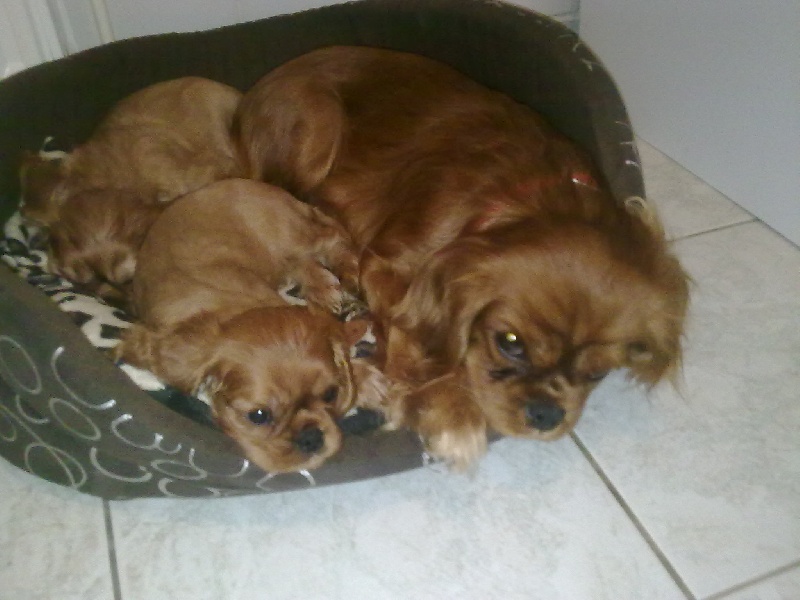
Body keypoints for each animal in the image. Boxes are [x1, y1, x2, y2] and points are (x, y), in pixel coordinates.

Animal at [115, 178, 370, 474]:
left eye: (330, 394)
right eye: (258, 416)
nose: (311, 438)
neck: (234, 310)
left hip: (289, 236)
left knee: (331, 237)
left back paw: (345, 275)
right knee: (304, 260)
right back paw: (323, 287)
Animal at [235, 46, 691, 469]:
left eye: (598, 372)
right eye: (509, 343)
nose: (546, 415)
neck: (526, 199)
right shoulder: (388, 268)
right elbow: (431, 347)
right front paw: (451, 410)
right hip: (317, 125)